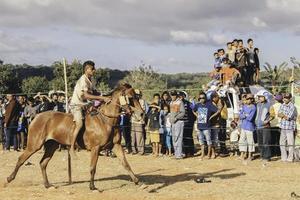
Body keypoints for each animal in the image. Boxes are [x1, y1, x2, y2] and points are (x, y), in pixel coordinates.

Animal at [5, 83, 144, 191]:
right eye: (130, 98)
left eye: (137, 97)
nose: (141, 113)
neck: (106, 120)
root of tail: (36, 117)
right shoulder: (95, 148)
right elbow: (93, 167)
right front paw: (92, 186)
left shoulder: (116, 146)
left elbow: (126, 164)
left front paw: (137, 181)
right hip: (34, 145)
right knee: (21, 159)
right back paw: (9, 178)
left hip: (51, 145)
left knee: (43, 163)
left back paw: (47, 185)